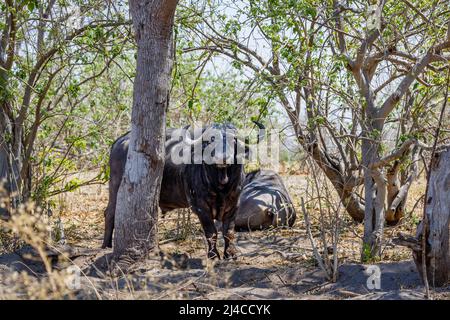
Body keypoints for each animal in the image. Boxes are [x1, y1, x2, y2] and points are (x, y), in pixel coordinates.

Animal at [102, 122, 264, 260]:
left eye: (233, 140)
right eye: (209, 141)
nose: (222, 158)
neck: (220, 185)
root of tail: (120, 140)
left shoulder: (234, 205)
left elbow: (228, 232)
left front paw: (231, 253)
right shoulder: (200, 208)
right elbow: (211, 232)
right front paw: (213, 255)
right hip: (115, 186)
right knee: (110, 212)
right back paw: (106, 245)